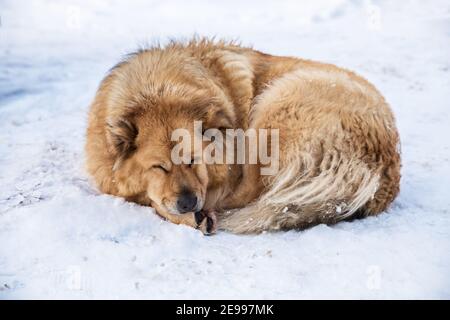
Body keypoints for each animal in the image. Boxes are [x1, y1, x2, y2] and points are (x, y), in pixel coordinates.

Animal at [84, 39, 400, 235]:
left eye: (193, 160)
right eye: (159, 167)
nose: (187, 203)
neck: (160, 86)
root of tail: (385, 161)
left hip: (274, 106)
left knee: (251, 192)